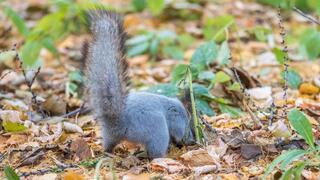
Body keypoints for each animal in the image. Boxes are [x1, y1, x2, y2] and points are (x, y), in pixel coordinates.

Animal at [85, 10, 195, 158]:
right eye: (187, 122)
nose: (192, 139)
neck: (171, 106)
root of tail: (118, 122)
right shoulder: (175, 119)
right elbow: (178, 131)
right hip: (156, 130)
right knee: (155, 152)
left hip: (109, 134)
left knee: (108, 145)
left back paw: (109, 152)